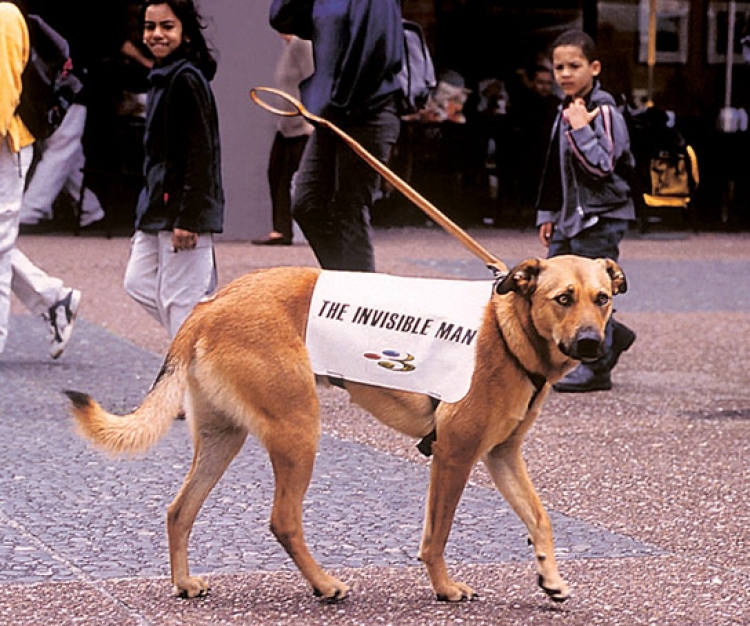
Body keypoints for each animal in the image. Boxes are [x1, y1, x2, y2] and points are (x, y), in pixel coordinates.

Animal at [66, 255, 626, 604]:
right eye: (562, 298)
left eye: (601, 299)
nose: (592, 344)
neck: (511, 332)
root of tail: (207, 308)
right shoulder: (455, 456)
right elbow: (438, 535)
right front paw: (445, 589)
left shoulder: (502, 456)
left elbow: (540, 518)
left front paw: (550, 577)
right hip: (299, 431)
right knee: (283, 521)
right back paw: (324, 584)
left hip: (225, 439)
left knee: (179, 511)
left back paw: (184, 583)